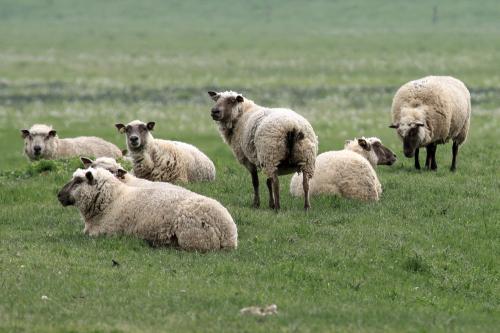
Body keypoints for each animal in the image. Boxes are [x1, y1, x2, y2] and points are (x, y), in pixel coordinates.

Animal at [57, 167, 237, 250]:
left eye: (78, 181)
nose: (58, 195)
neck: (113, 199)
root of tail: (228, 233)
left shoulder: (102, 233)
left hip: (194, 239)